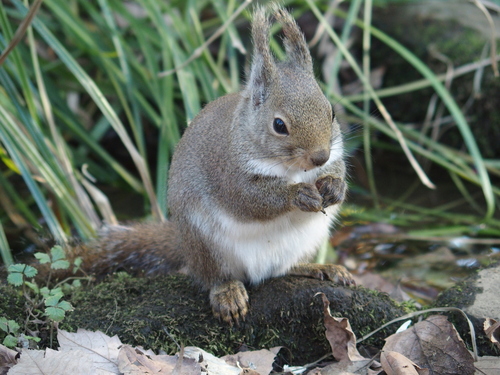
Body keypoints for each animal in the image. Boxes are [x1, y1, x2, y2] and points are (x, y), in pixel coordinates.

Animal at [70, 3, 354, 326]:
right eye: (279, 125)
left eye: (331, 112)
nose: (319, 156)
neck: (293, 169)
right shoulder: (228, 172)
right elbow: (250, 199)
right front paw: (297, 194)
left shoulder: (333, 155)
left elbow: (337, 170)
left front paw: (334, 187)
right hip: (206, 244)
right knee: (214, 277)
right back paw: (227, 293)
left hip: (308, 240)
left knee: (283, 270)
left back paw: (320, 268)